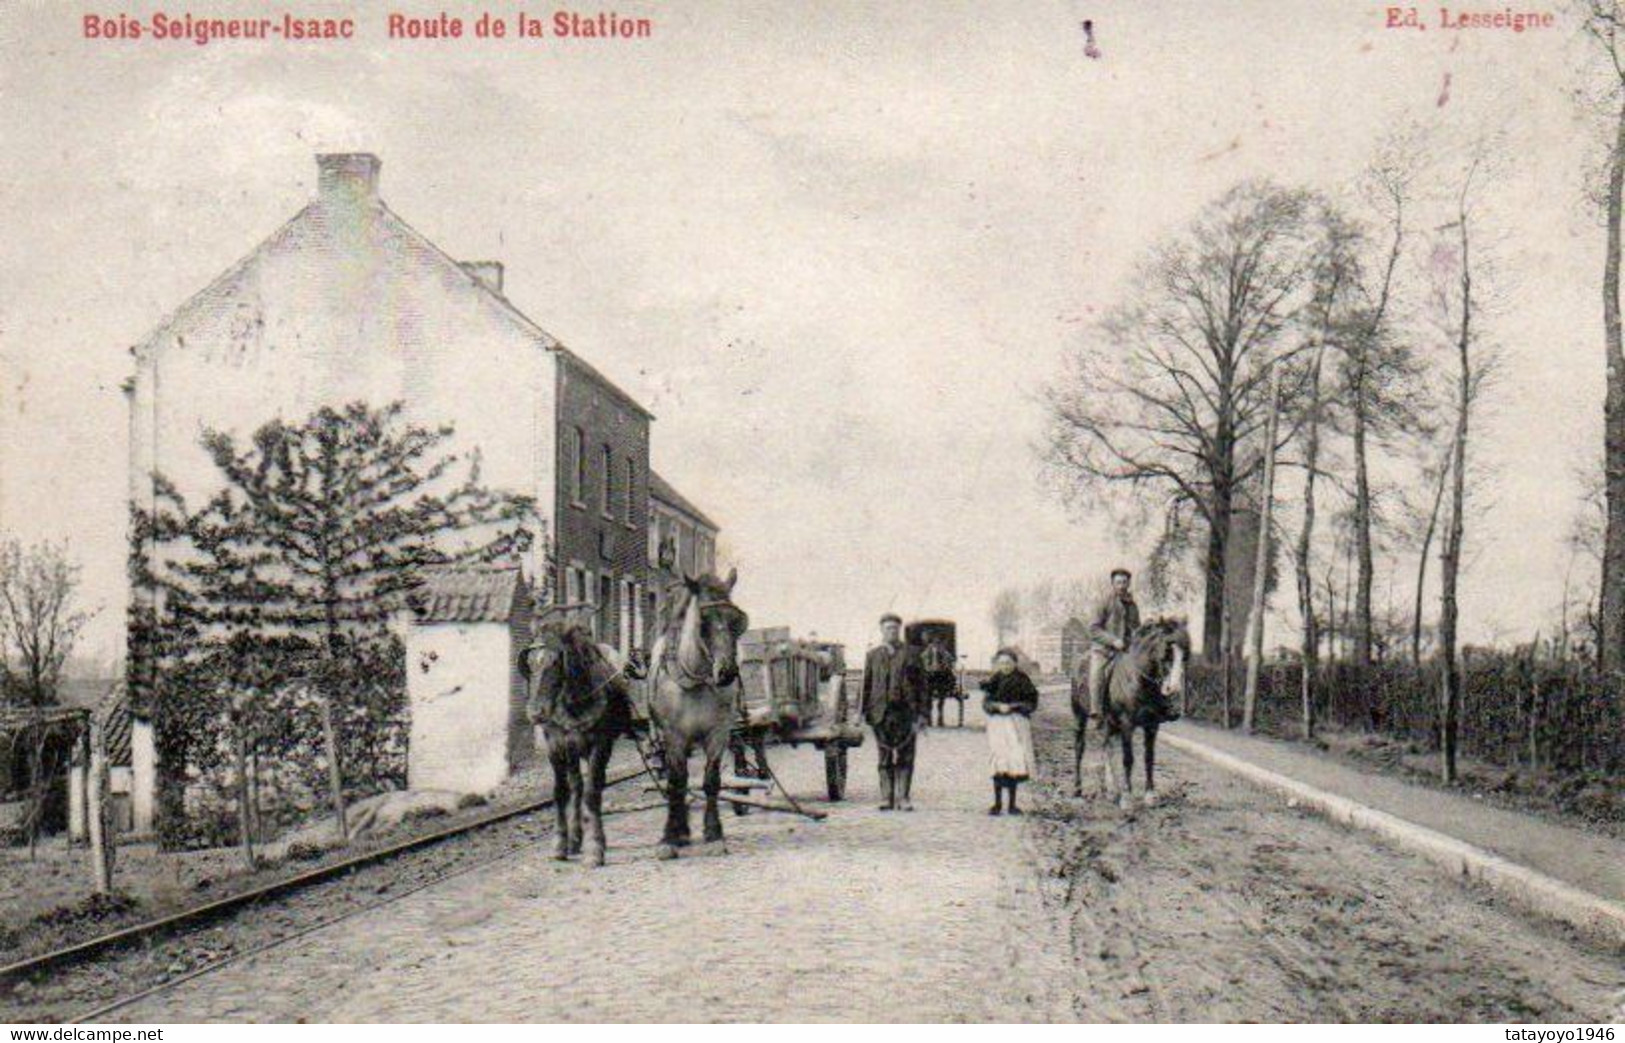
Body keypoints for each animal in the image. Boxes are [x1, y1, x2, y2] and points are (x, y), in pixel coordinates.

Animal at [1066, 617, 1196, 812]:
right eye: (1167, 651)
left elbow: (1149, 757)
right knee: (1079, 748)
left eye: (1185, 655)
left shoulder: (1152, 726)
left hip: (1109, 724)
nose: (1172, 689)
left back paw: (1111, 790)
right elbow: (1128, 759)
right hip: (1080, 716)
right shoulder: (1127, 724)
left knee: (1108, 747)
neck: (1138, 679)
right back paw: (1077, 791)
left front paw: (1150, 795)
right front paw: (1127, 798)